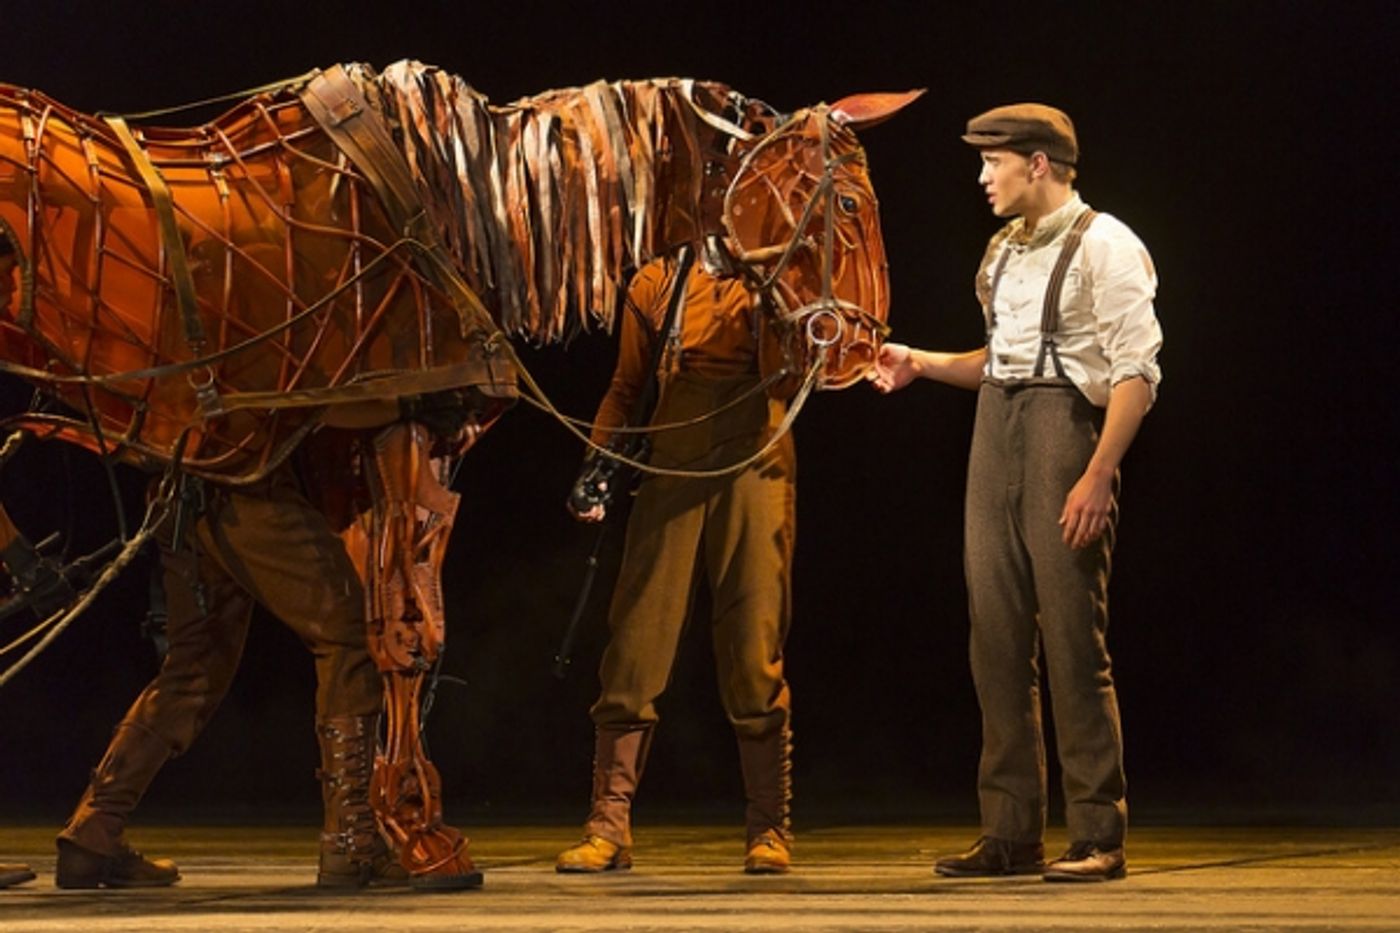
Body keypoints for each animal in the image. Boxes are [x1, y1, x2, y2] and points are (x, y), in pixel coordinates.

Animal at [0, 59, 921, 884]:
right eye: (847, 202)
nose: (863, 344)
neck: (451, 197)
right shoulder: (419, 431)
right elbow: (410, 636)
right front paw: (420, 834)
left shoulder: (343, 453)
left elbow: (374, 634)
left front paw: (372, 837)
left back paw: (94, 850)